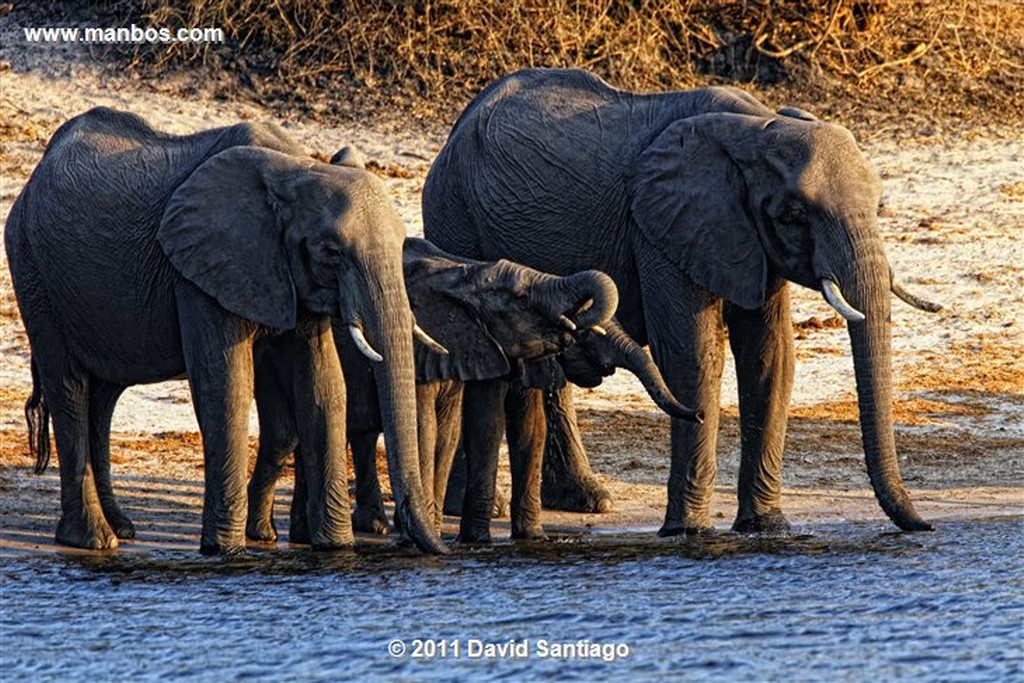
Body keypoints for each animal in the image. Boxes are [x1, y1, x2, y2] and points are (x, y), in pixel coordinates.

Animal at [6, 107, 444, 557]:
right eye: (331, 253)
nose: (424, 542)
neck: (296, 167)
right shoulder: (200, 268)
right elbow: (226, 385)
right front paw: (226, 551)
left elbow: (324, 387)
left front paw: (337, 549)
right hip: (32, 268)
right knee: (70, 389)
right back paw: (94, 539)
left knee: (104, 397)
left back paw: (121, 529)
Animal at [419, 68, 937, 532]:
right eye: (793, 214)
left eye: (879, 206)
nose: (925, 526)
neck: (757, 127)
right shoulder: (661, 229)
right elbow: (692, 354)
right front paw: (688, 531)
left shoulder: (747, 240)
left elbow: (770, 356)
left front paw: (766, 527)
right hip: (453, 213)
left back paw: (589, 501)